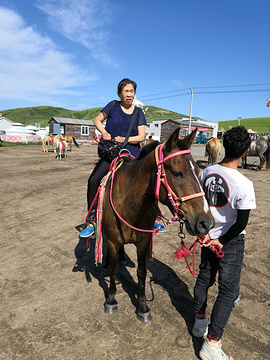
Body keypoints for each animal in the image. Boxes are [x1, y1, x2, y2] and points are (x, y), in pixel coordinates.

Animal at [100, 129, 214, 320]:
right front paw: (110, 299)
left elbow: (142, 272)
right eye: (177, 173)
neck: (129, 204)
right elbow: (113, 269)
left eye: (198, 171)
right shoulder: (112, 241)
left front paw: (143, 307)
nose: (206, 223)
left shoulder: (144, 242)